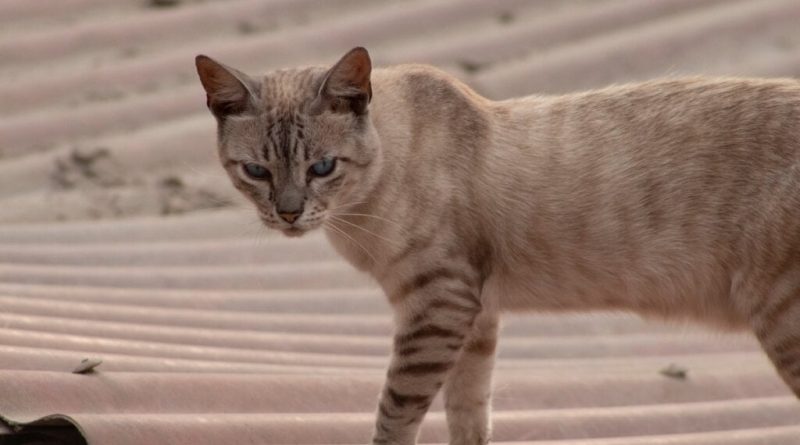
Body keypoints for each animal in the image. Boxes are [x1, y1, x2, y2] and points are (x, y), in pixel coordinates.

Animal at [197, 46, 800, 442]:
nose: (289, 214)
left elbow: (395, 412)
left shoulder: (438, 305)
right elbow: (468, 413)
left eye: (322, 168)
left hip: (782, 320)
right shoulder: (476, 318)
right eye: (255, 171)